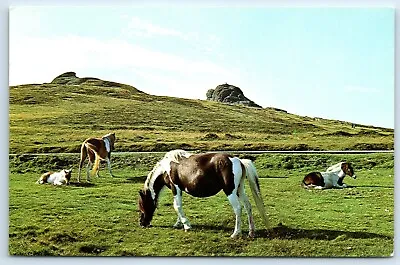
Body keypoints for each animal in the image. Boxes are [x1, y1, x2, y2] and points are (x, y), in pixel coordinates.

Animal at [139, 148, 270, 237]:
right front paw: (179, 223)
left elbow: (176, 206)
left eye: (141, 205)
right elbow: (178, 206)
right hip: (239, 189)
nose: (142, 223)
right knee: (248, 206)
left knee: (238, 208)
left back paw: (235, 233)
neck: (167, 168)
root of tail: (239, 161)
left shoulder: (175, 187)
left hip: (230, 191)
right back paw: (251, 232)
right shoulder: (179, 190)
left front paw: (186, 225)